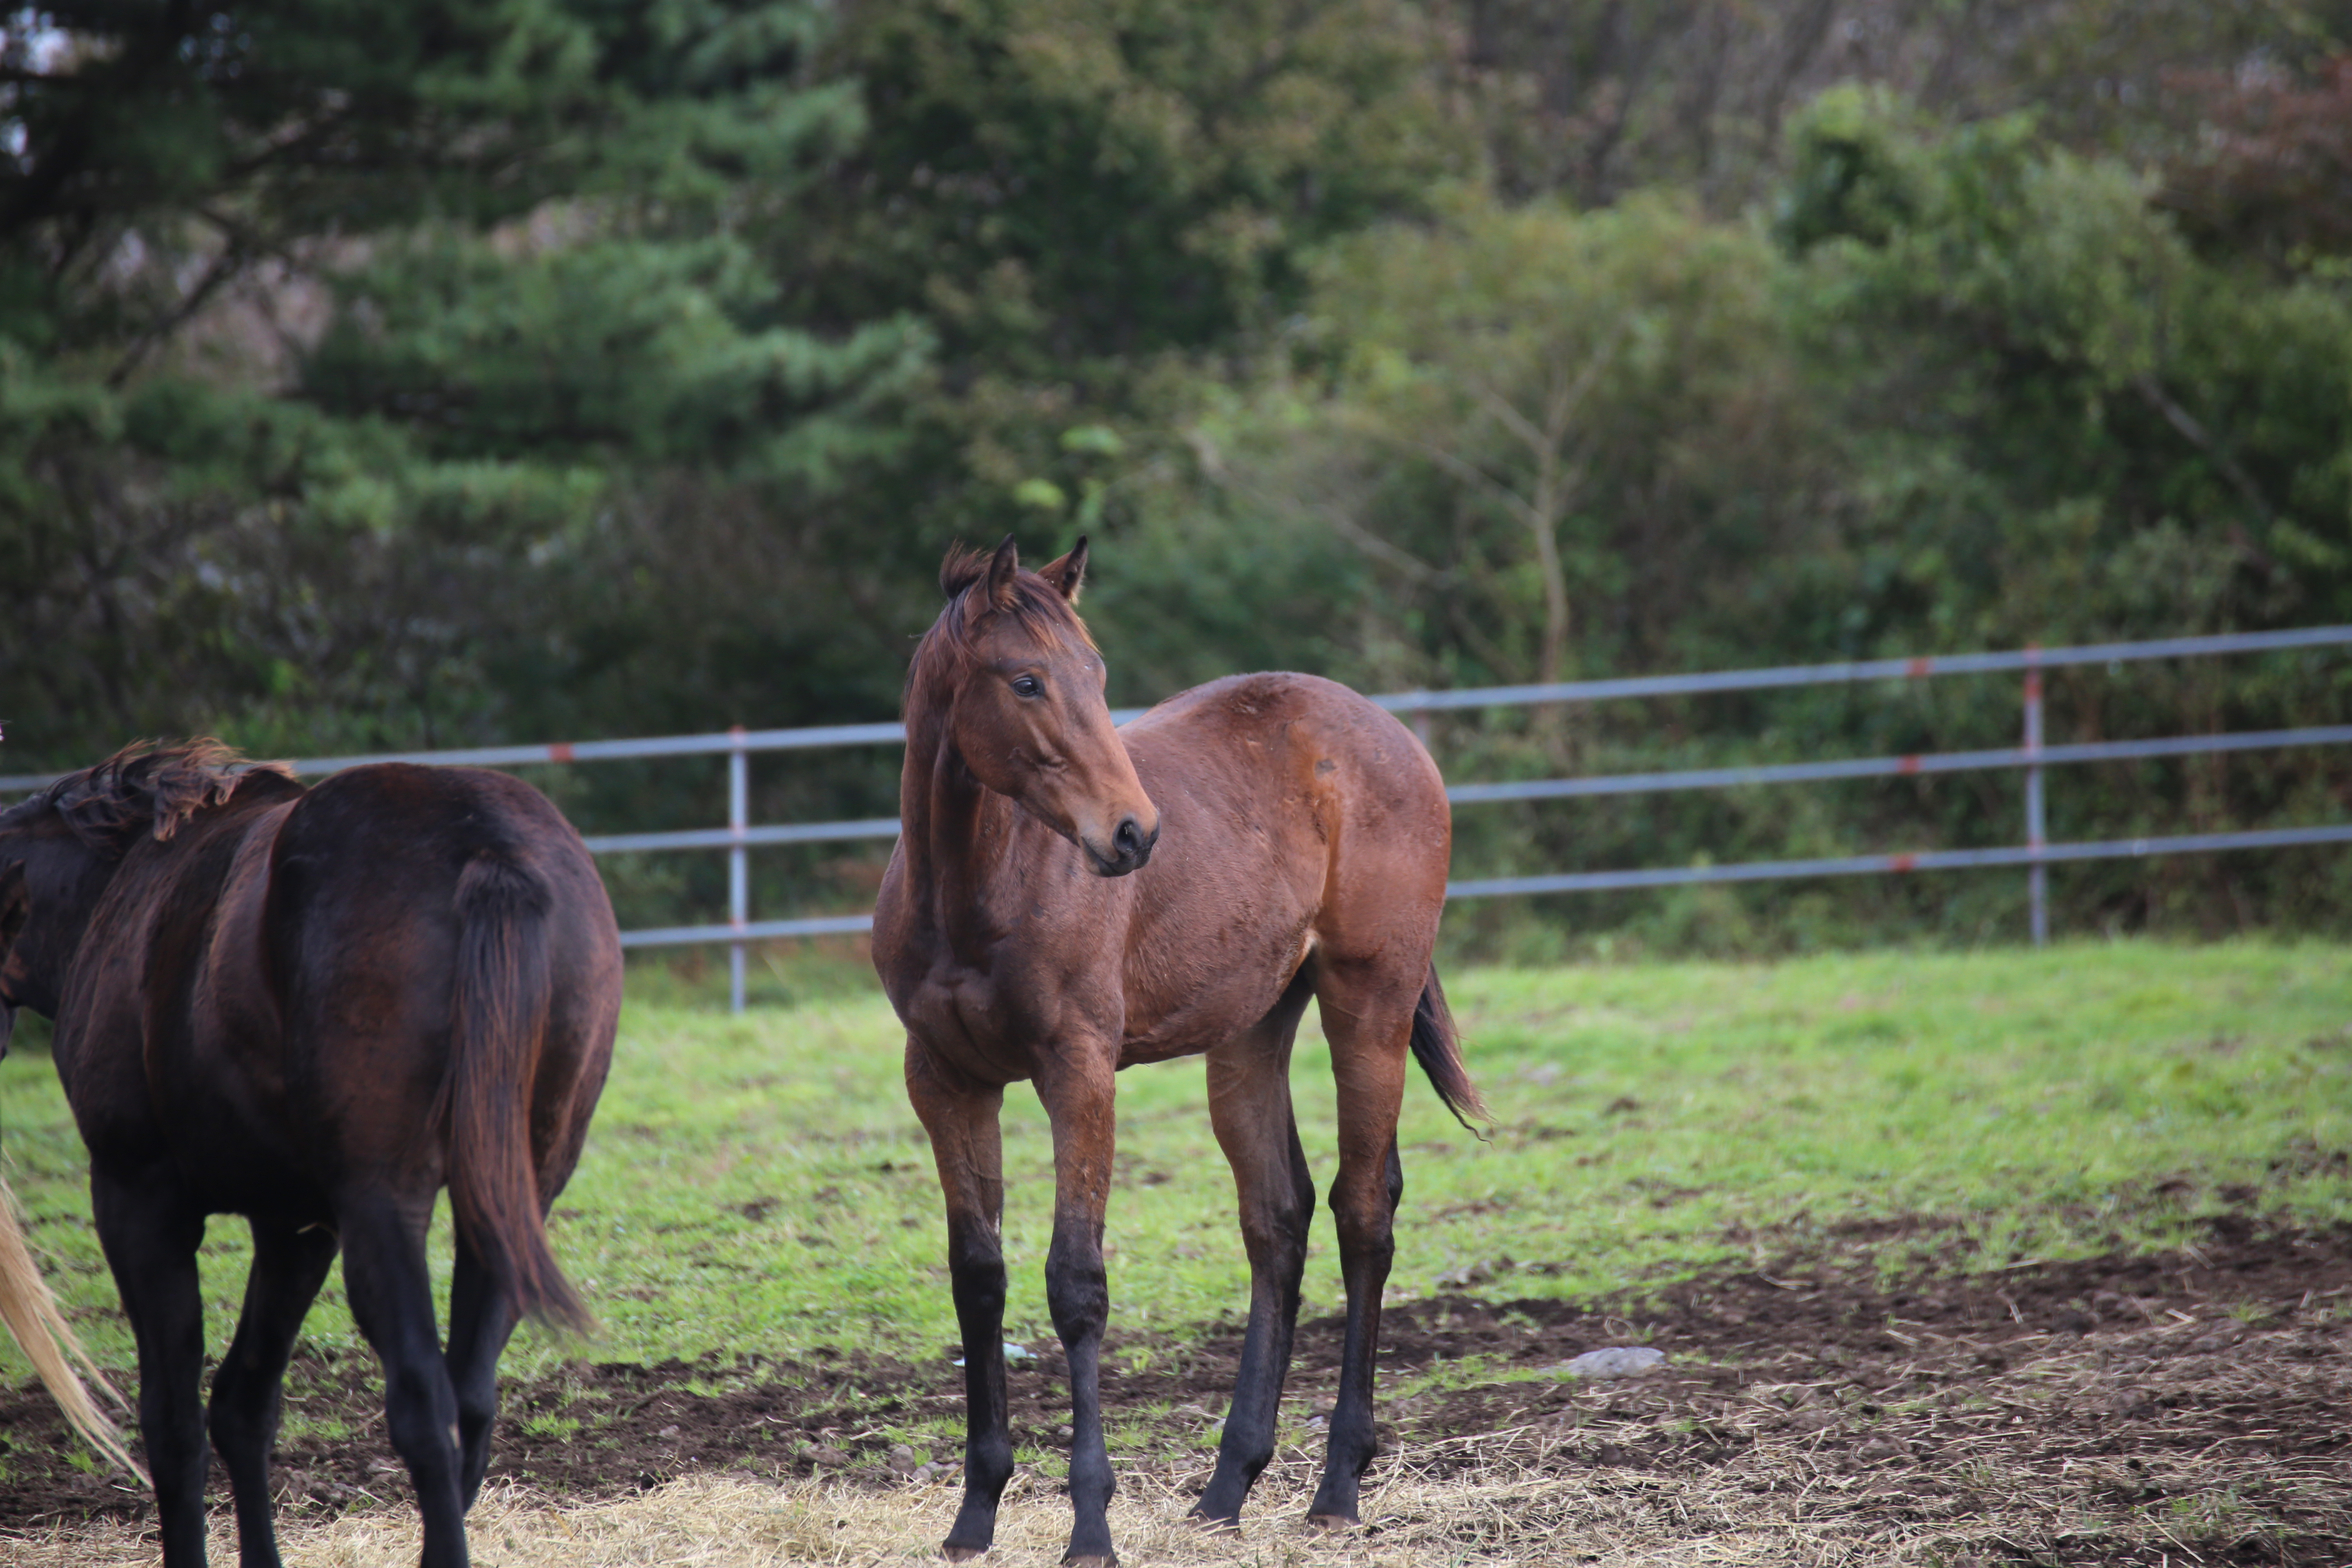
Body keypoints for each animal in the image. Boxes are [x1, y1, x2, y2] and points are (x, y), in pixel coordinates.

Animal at [0, 747, 626, 1568]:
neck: (113, 891)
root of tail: (485, 844)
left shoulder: (138, 1199)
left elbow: (174, 1424)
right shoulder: (293, 1226)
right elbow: (244, 1406)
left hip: (383, 1205)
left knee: (424, 1401)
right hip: (509, 1199)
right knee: (470, 1400)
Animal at [875, 543, 1477, 1568]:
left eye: (1097, 674)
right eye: (1026, 680)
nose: (1132, 833)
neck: (975, 888)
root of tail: (1392, 735)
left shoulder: (1076, 1072)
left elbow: (1075, 1283)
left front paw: (1089, 1524)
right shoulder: (946, 1082)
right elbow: (978, 1278)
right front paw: (975, 1512)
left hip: (1369, 1002)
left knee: (1363, 1211)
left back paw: (1337, 1487)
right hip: (1249, 1033)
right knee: (1277, 1217)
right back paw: (1227, 1487)